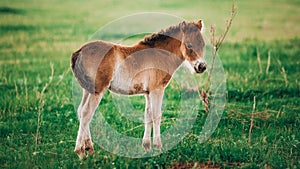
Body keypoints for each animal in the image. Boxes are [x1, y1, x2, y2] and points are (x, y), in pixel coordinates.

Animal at [70, 19, 206, 158]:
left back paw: (89, 148)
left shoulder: (148, 92)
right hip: (98, 90)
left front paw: (146, 147)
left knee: (81, 111)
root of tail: (80, 51)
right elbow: (157, 115)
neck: (160, 54)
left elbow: (148, 115)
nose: (201, 67)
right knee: (86, 113)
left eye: (203, 45)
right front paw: (158, 147)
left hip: (87, 90)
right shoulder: (157, 90)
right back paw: (80, 151)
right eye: (189, 45)